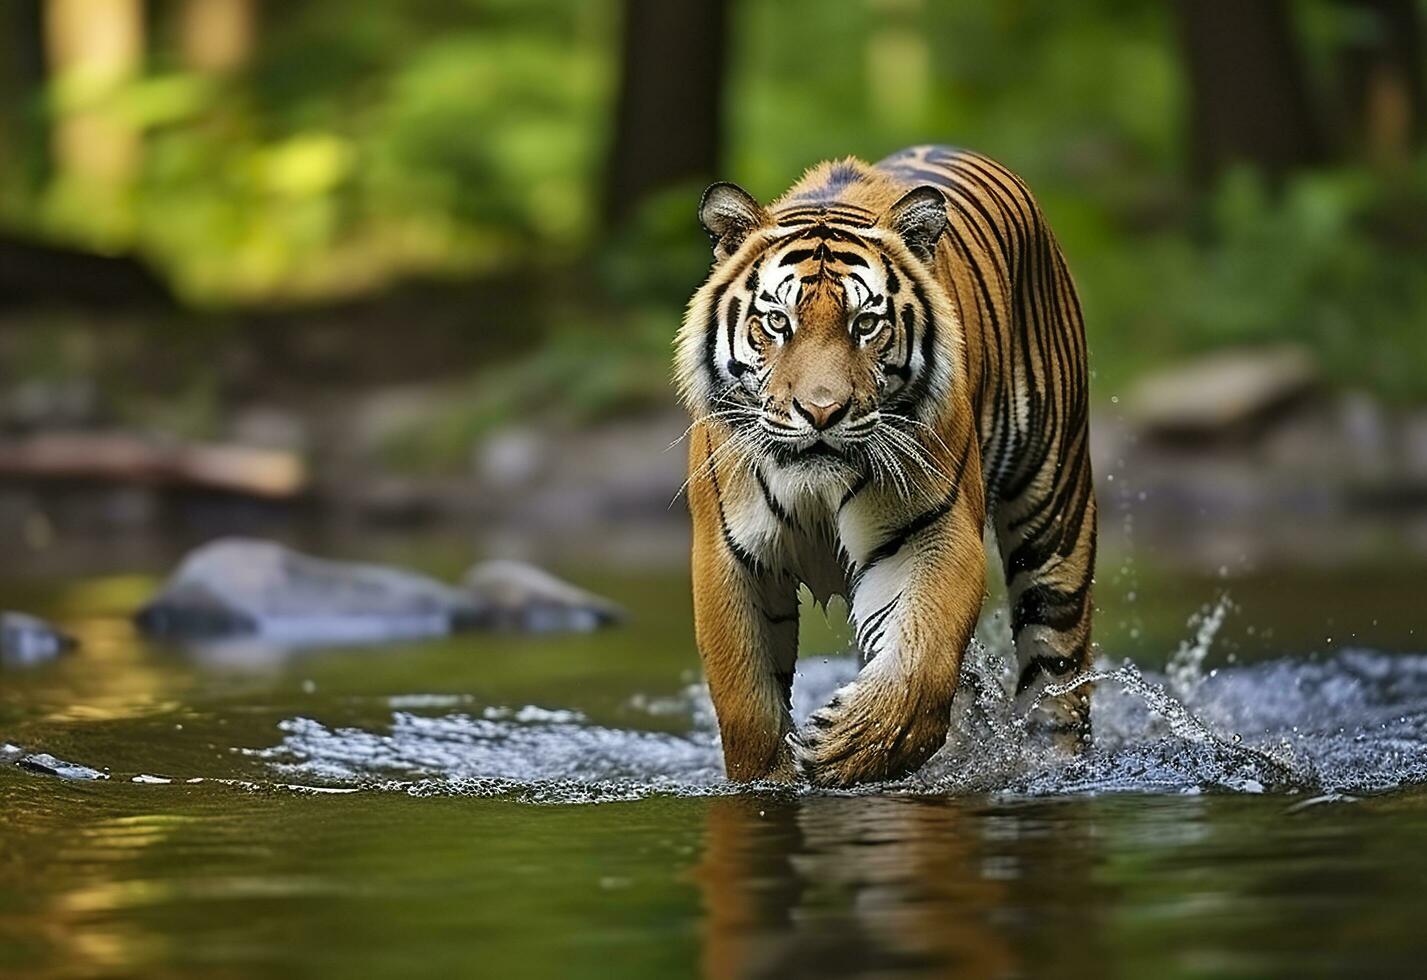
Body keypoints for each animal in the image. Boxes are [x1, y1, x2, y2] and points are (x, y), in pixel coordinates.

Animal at [673, 147, 1095, 787]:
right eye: (778, 323)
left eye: (865, 324)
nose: (821, 411)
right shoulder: (731, 556)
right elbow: (748, 702)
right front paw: (773, 778)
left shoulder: (934, 534)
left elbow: (920, 661)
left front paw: (850, 743)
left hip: (1055, 516)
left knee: (1058, 681)